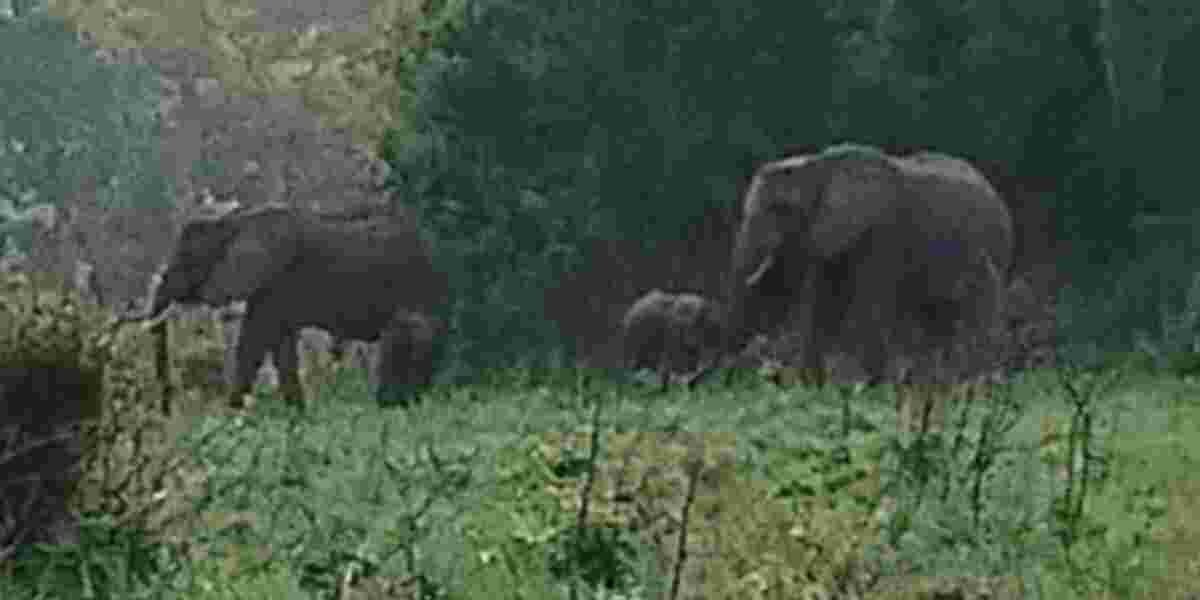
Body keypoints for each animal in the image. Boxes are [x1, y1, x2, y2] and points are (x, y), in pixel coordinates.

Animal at [131, 201, 450, 410]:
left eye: (187, 262)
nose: (166, 409)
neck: (235, 222)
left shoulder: (276, 280)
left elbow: (255, 339)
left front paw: (233, 413)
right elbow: (278, 342)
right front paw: (296, 413)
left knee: (407, 334)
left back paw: (394, 406)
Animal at [725, 143, 1014, 382]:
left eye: (780, 210)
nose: (729, 376)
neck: (820, 167)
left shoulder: (882, 231)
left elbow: (868, 302)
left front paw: (871, 386)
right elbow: (824, 302)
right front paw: (811, 386)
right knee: (935, 318)